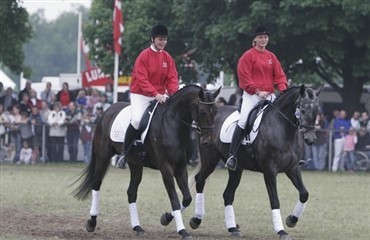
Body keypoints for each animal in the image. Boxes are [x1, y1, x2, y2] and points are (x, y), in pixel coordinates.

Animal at [73, 84, 221, 238]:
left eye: (215, 111)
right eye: (202, 112)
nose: (208, 142)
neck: (173, 124)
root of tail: (107, 111)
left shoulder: (181, 167)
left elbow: (187, 198)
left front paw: (166, 218)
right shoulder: (166, 168)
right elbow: (174, 199)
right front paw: (182, 230)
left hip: (135, 164)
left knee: (131, 193)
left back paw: (137, 227)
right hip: (103, 158)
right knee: (96, 184)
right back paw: (92, 222)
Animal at [189, 85, 322, 239]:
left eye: (317, 110)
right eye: (303, 110)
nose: (310, 139)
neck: (284, 129)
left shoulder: (292, 169)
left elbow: (304, 194)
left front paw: (291, 220)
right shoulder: (269, 171)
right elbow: (275, 200)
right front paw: (281, 231)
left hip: (236, 169)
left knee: (228, 194)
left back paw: (232, 228)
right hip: (210, 161)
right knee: (200, 181)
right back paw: (196, 220)